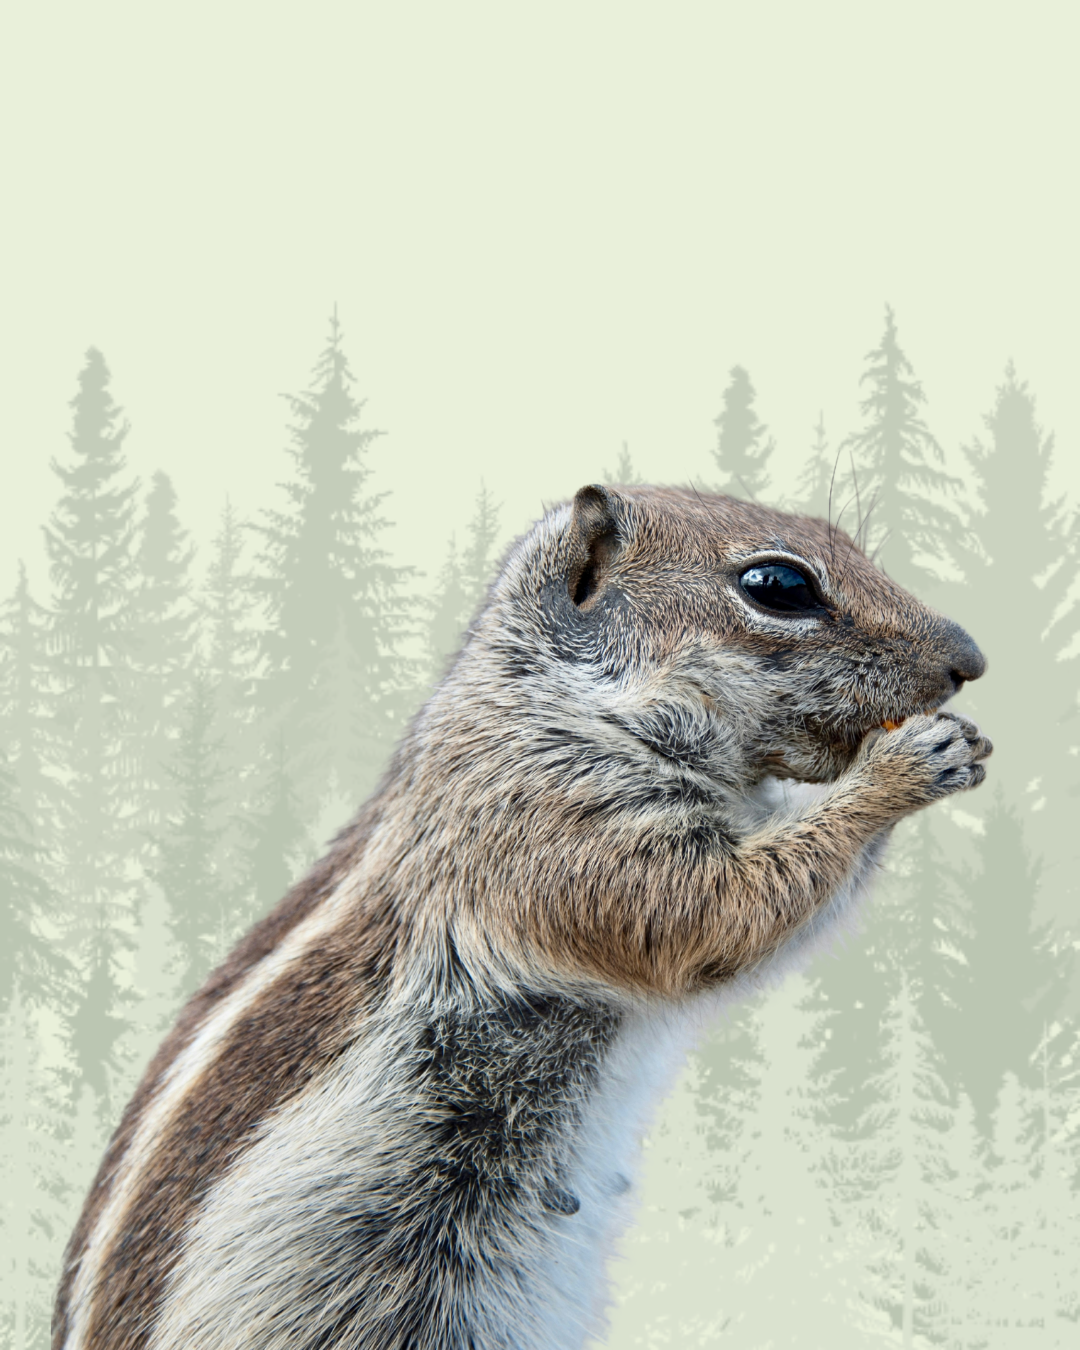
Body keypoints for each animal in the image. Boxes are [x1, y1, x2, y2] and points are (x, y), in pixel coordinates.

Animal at [54, 485, 991, 1350]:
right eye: (779, 584)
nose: (970, 658)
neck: (544, 697)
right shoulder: (550, 827)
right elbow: (711, 914)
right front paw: (906, 764)